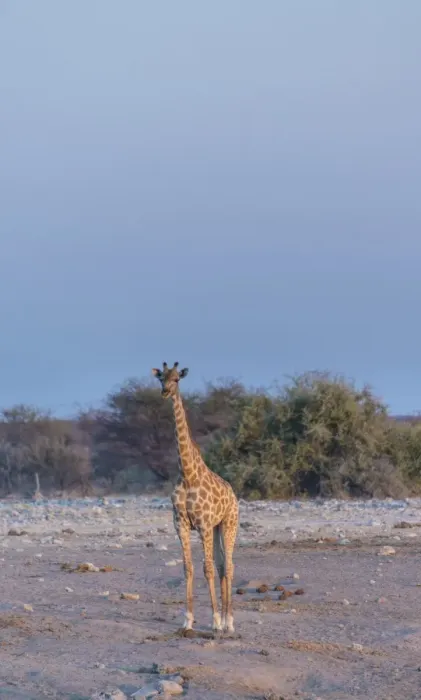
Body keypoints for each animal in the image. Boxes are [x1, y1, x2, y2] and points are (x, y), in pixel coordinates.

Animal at [152, 362, 239, 633]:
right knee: (222, 566)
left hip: (229, 523)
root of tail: (233, 494)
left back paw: (228, 622)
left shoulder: (203, 524)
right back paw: (225, 618)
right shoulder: (180, 524)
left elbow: (206, 569)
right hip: (218, 527)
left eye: (177, 379)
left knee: (228, 566)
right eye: (161, 378)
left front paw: (214, 621)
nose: (165, 392)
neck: (188, 473)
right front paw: (188, 620)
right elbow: (188, 568)